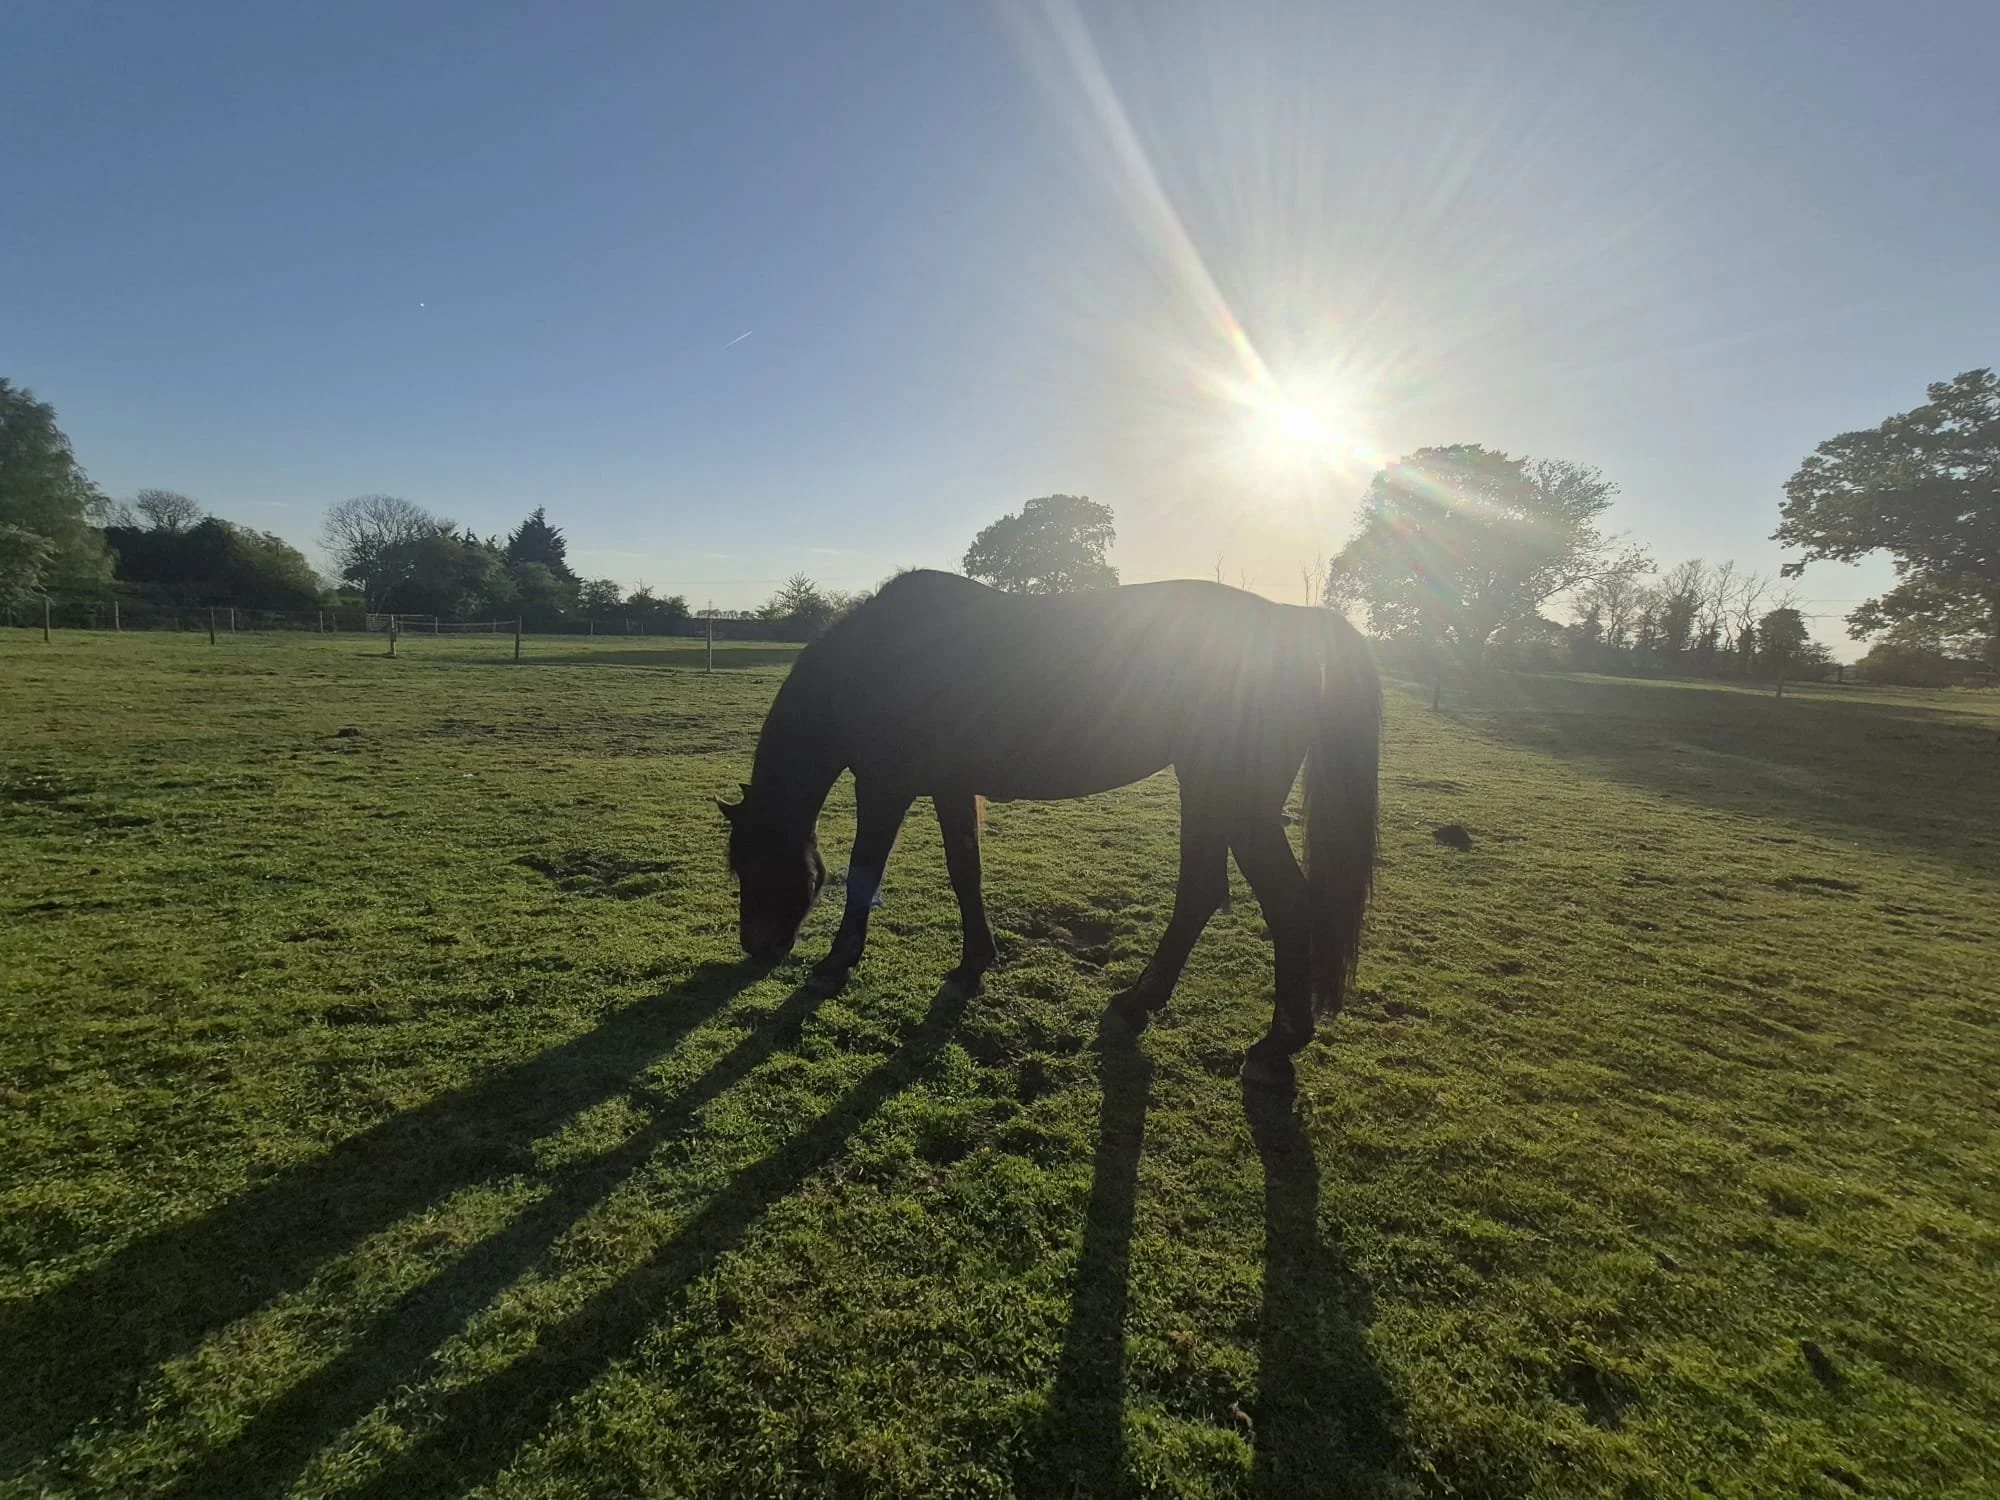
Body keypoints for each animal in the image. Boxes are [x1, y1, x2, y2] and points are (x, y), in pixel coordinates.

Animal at [718, 569, 1380, 1088]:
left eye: (755, 862)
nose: (757, 947)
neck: (872, 664)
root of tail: (1295, 624)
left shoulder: (885, 787)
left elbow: (864, 873)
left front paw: (836, 963)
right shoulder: (951, 788)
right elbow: (965, 870)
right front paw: (973, 963)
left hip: (1234, 799)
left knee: (1286, 904)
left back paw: (1274, 1046)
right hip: (1206, 790)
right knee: (1203, 893)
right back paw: (1138, 1005)